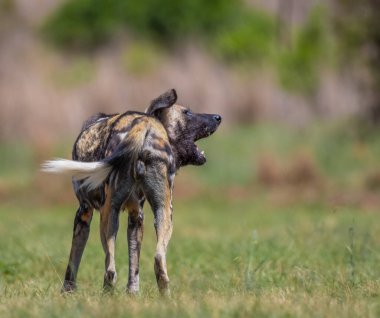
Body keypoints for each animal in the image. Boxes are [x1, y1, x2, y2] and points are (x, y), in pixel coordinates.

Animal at [42, 88, 220, 294]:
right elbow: (134, 264)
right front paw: (132, 293)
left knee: (110, 269)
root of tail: (143, 125)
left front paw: (67, 292)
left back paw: (107, 295)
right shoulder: (136, 216)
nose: (218, 117)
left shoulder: (84, 213)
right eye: (187, 113)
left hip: (108, 216)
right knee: (158, 259)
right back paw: (164, 294)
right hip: (164, 213)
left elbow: (73, 262)